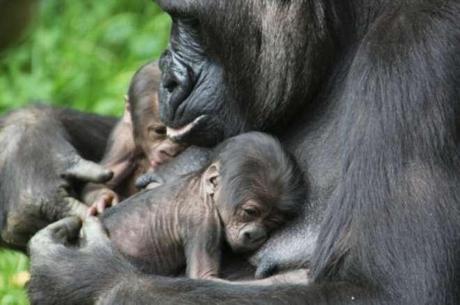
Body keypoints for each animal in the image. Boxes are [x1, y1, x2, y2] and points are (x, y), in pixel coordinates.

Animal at [102, 131, 308, 278]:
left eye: (273, 222)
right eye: (250, 212)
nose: (256, 234)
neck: (204, 192)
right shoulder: (203, 222)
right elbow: (204, 275)